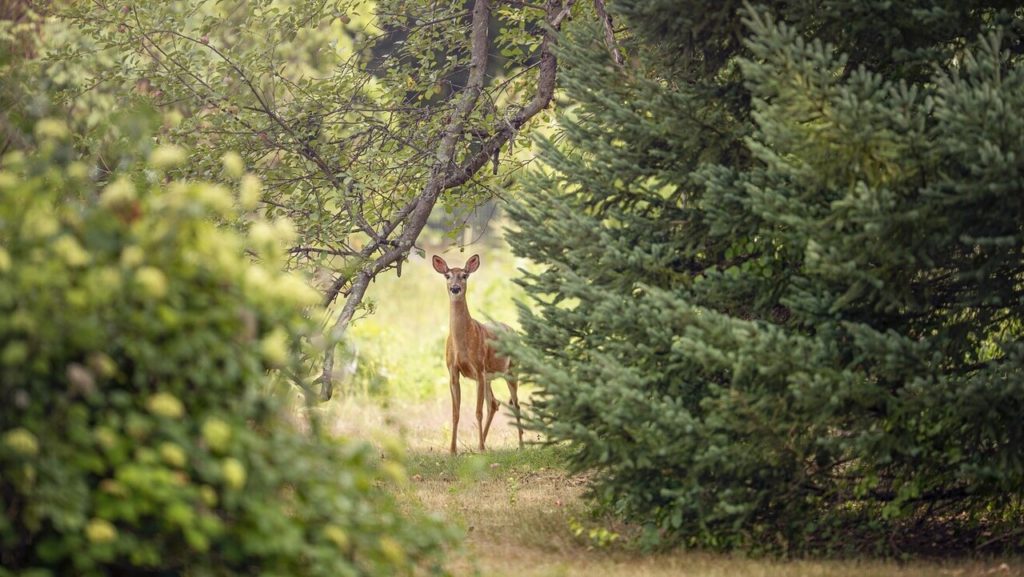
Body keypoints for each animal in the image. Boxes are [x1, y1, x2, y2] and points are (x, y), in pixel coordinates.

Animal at [432, 255, 524, 452]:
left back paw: (520, 445)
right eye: (447, 275)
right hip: (489, 377)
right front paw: (453, 450)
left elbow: (478, 411)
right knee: (494, 403)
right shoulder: (453, 371)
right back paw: (482, 442)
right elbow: (455, 412)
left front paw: (480, 448)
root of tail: (513, 331)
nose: (455, 288)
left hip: (511, 370)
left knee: (515, 404)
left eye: (465, 275)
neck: (462, 343)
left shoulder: (479, 368)